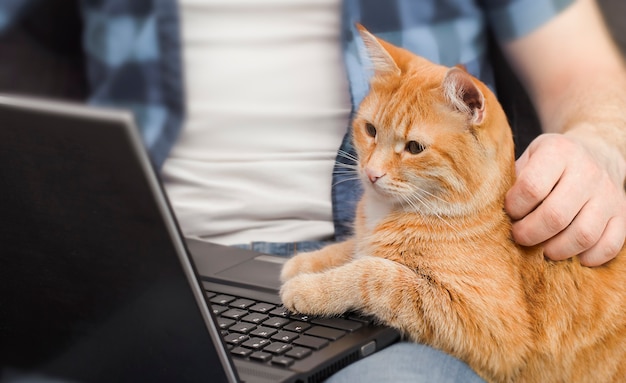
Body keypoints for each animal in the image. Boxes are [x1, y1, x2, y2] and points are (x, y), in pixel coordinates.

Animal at [280, 25, 624, 382]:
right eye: (370, 129)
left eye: (414, 147)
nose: (371, 173)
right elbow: (353, 248)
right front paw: (306, 261)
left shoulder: (487, 327)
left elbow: (374, 273)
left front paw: (311, 288)